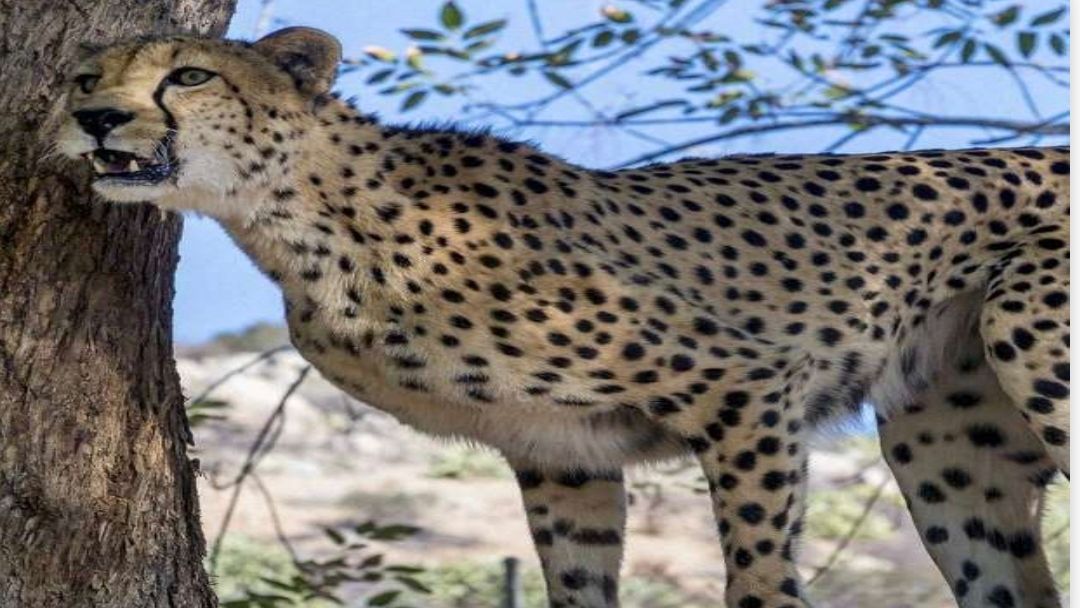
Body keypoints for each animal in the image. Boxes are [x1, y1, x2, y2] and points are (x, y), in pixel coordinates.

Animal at [56, 27, 1069, 608]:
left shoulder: (746, 388)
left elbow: (756, 568)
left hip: (1031, 339)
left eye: (189, 76)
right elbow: (578, 582)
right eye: (83, 75)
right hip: (945, 443)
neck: (309, 222)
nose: (96, 117)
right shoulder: (560, 452)